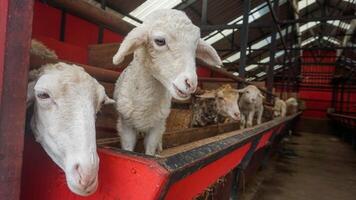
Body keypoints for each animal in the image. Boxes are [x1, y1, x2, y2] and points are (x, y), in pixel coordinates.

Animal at [112, 9, 221, 155]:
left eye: (195, 47)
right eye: (159, 41)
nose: (191, 83)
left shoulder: (157, 126)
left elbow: (150, 150)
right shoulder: (126, 126)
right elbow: (128, 149)